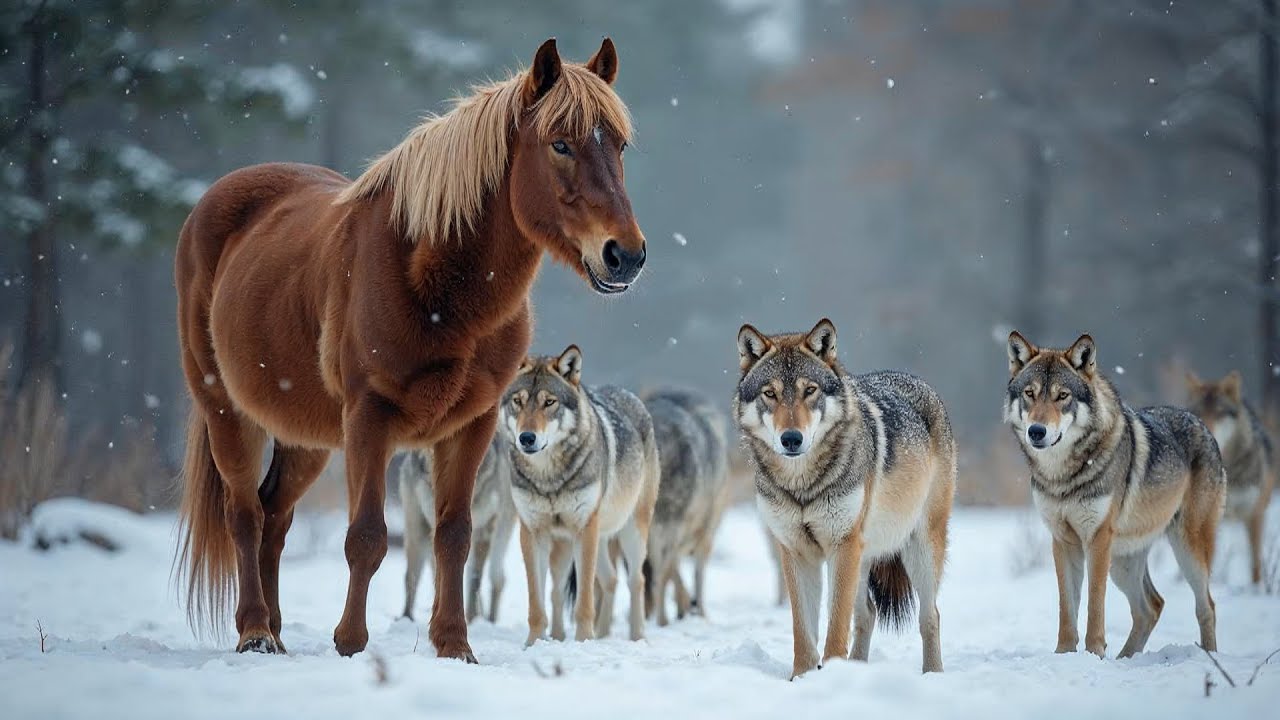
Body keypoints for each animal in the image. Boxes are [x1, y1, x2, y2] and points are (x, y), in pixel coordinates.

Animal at [174, 37, 645, 662]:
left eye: (619, 144)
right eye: (560, 143)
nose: (626, 255)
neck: (434, 278)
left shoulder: (470, 425)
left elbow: (454, 536)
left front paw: (455, 646)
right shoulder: (369, 419)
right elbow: (368, 537)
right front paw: (351, 644)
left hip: (306, 437)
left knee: (274, 517)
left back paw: (274, 629)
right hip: (227, 410)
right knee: (245, 515)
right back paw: (255, 633)